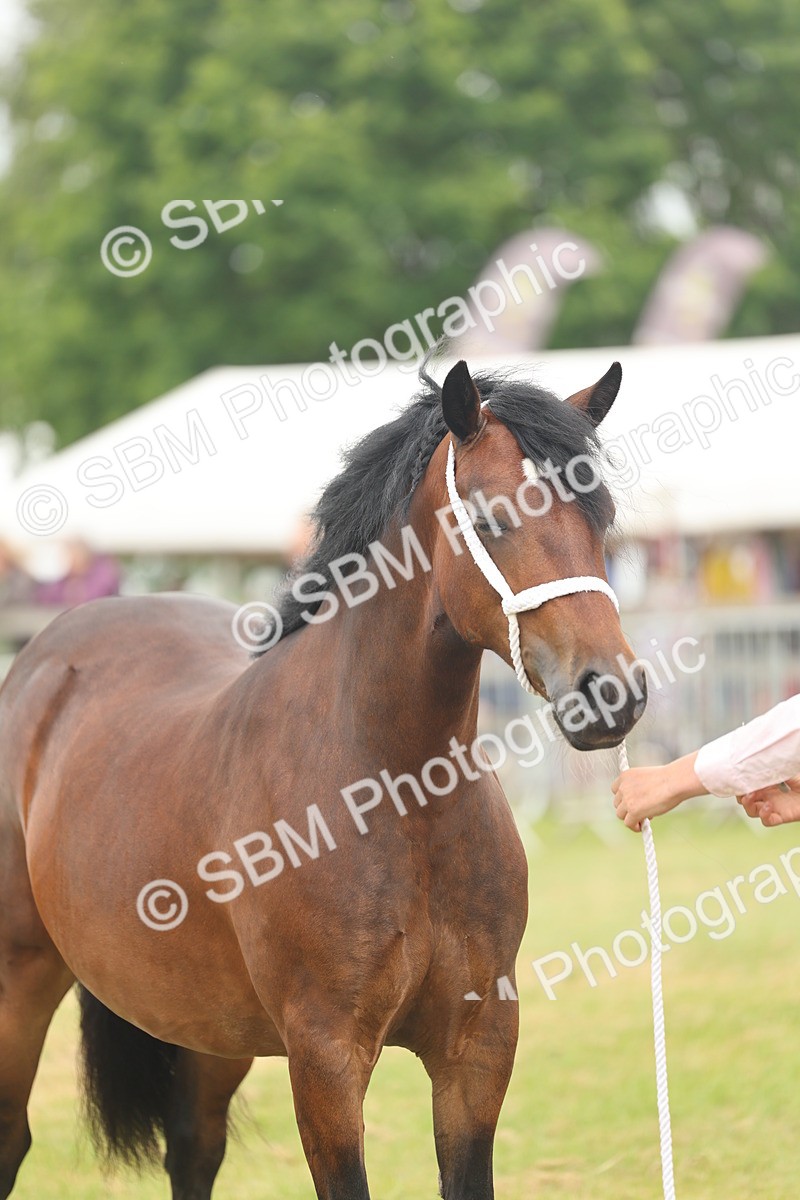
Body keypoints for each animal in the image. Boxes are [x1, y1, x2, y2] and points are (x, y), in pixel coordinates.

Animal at [0, 356, 646, 1199]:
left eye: (600, 516)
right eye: (491, 516)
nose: (611, 692)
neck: (395, 798)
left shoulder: (477, 1051)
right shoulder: (326, 1058)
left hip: (209, 1031)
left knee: (192, 1150)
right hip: (19, 986)